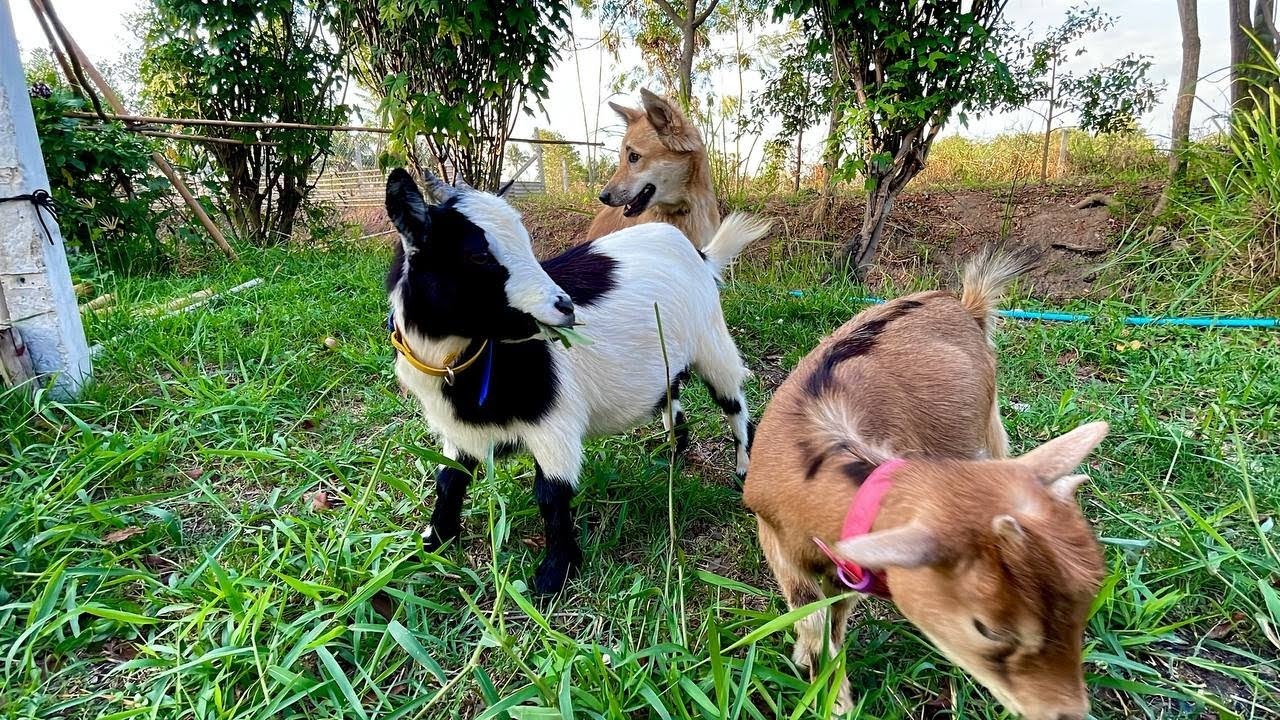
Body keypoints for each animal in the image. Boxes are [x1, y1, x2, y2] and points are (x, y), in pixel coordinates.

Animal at [384, 168, 770, 594]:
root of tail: (698, 253)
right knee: (671, 393)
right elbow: (449, 480)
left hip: (712, 342)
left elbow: (551, 495)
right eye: (478, 255)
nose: (565, 306)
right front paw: (431, 543)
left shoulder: (555, 426)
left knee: (733, 401)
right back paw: (670, 452)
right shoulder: (460, 433)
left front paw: (553, 575)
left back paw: (743, 469)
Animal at [742, 249, 1108, 720]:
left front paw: (831, 694)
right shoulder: (775, 537)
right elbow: (811, 615)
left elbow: (833, 618)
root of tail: (963, 304)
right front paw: (820, 679)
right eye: (988, 628)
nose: (1066, 712)